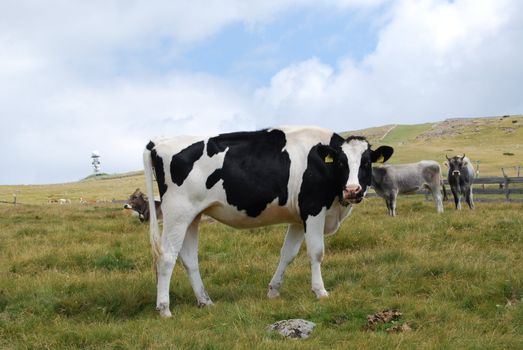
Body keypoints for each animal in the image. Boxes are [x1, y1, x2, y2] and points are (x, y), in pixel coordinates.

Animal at [143, 126, 392, 318]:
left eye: (366, 162)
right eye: (341, 163)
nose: (353, 190)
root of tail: (159, 141)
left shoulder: (298, 218)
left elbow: (288, 254)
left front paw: (273, 291)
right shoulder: (313, 210)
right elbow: (316, 252)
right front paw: (320, 291)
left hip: (192, 216)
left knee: (188, 259)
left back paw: (205, 301)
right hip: (177, 213)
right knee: (166, 257)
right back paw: (164, 309)